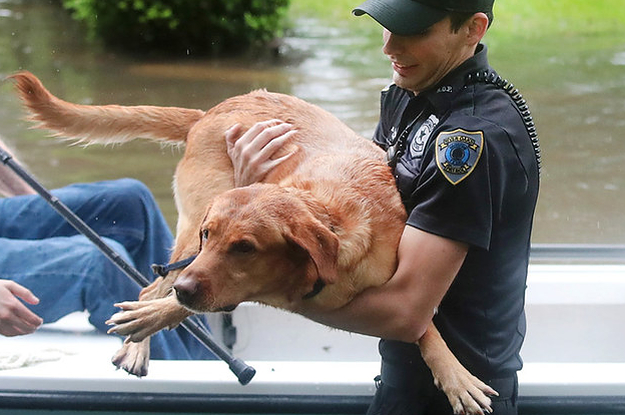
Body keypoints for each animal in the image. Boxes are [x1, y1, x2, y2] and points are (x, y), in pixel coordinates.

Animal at [9, 71, 494, 415]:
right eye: (212, 236)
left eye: (244, 247)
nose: (186, 289)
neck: (333, 219)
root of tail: (207, 112)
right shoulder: (201, 262)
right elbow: (176, 300)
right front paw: (152, 319)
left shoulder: (404, 292)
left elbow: (425, 328)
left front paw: (455, 376)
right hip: (189, 225)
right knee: (153, 287)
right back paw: (141, 338)